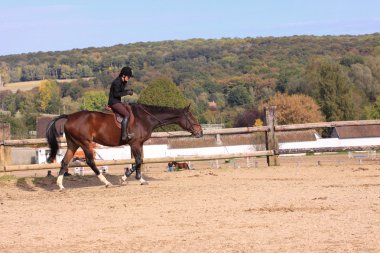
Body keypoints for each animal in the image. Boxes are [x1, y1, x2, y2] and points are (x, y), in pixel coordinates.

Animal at [46, 103, 203, 190]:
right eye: (191, 117)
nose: (200, 132)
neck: (146, 118)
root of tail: (69, 117)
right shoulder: (135, 143)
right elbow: (138, 161)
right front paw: (125, 179)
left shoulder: (138, 144)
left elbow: (138, 161)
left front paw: (139, 179)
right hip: (85, 143)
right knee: (90, 162)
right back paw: (106, 182)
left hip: (73, 144)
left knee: (64, 162)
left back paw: (60, 186)